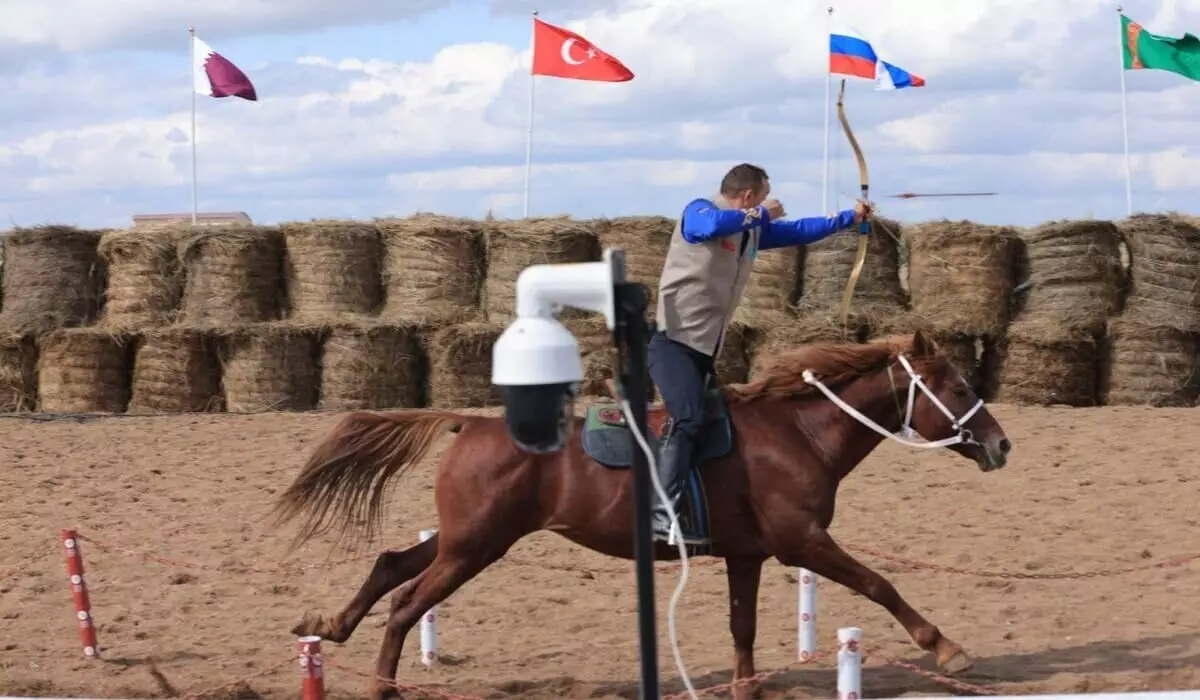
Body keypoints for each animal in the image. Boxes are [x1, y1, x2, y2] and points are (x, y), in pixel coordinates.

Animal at [274, 328, 1012, 700]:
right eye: (959, 387)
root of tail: (472, 422)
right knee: (406, 604)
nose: (1002, 444)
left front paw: (745, 689)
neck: (798, 432)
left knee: (390, 563)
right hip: (473, 547)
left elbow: (742, 629)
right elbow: (879, 584)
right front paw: (948, 649)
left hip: (465, 539)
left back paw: (331, 626)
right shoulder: (803, 542)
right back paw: (381, 687)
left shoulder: (749, 554)